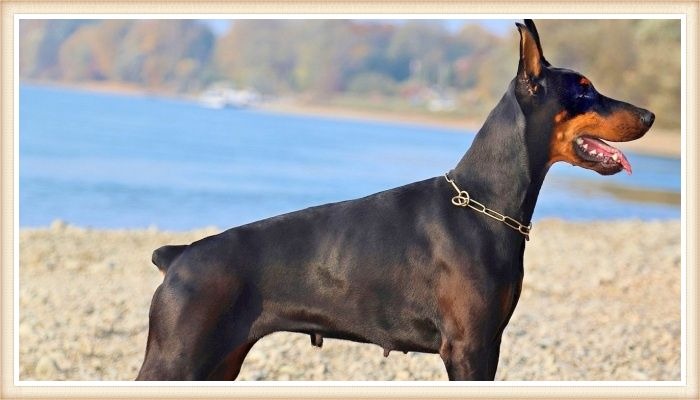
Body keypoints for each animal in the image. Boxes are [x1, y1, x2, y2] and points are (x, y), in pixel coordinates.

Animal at [138, 19, 656, 382]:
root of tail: (177, 256)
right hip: (177, 359)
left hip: (218, 362)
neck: (485, 203)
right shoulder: (470, 346)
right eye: (584, 89)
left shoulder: (486, 342)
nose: (650, 115)